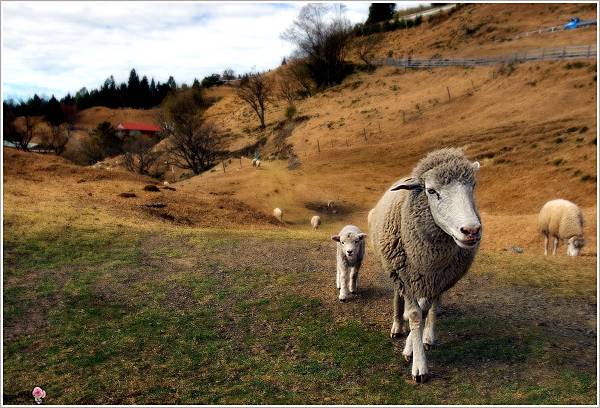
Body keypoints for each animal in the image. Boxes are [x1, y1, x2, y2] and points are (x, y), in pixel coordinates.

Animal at [370, 149, 482, 382]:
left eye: (473, 186)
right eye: (431, 191)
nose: (471, 231)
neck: (428, 258)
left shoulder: (437, 279)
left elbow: (424, 310)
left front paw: (414, 345)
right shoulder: (404, 277)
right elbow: (414, 315)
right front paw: (419, 365)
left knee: (432, 305)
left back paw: (428, 335)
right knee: (399, 298)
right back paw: (398, 324)